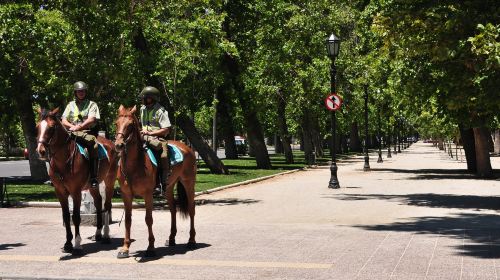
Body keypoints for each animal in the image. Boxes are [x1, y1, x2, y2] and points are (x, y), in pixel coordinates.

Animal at [36, 107, 118, 256]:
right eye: (38, 127)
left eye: (51, 127)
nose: (41, 151)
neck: (63, 161)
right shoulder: (60, 192)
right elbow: (66, 216)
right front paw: (68, 244)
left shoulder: (76, 192)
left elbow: (76, 217)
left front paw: (77, 244)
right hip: (92, 185)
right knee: (98, 203)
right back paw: (98, 233)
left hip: (109, 181)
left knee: (107, 206)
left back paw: (106, 235)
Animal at [114, 105, 197, 258]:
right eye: (116, 123)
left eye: (130, 125)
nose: (119, 145)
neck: (134, 166)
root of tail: (187, 148)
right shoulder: (126, 195)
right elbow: (128, 220)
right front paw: (125, 248)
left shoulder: (148, 195)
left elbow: (149, 219)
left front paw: (151, 248)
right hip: (169, 187)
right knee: (172, 209)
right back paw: (171, 239)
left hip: (188, 183)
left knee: (191, 209)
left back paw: (192, 240)